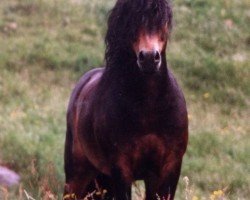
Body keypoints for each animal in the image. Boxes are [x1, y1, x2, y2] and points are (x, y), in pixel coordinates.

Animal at [64, 0, 188, 200]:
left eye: (164, 18)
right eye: (131, 19)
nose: (149, 58)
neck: (150, 110)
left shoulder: (168, 168)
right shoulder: (121, 169)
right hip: (76, 175)